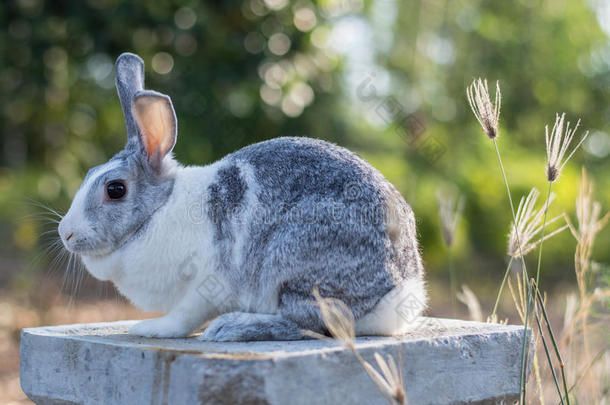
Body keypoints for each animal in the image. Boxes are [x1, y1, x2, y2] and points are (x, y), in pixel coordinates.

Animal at [58, 52, 428, 340]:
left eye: (115, 189)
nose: (66, 234)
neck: (158, 211)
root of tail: (400, 291)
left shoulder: (206, 286)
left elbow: (183, 318)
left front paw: (151, 329)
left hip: (289, 258)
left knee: (325, 318)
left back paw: (233, 327)